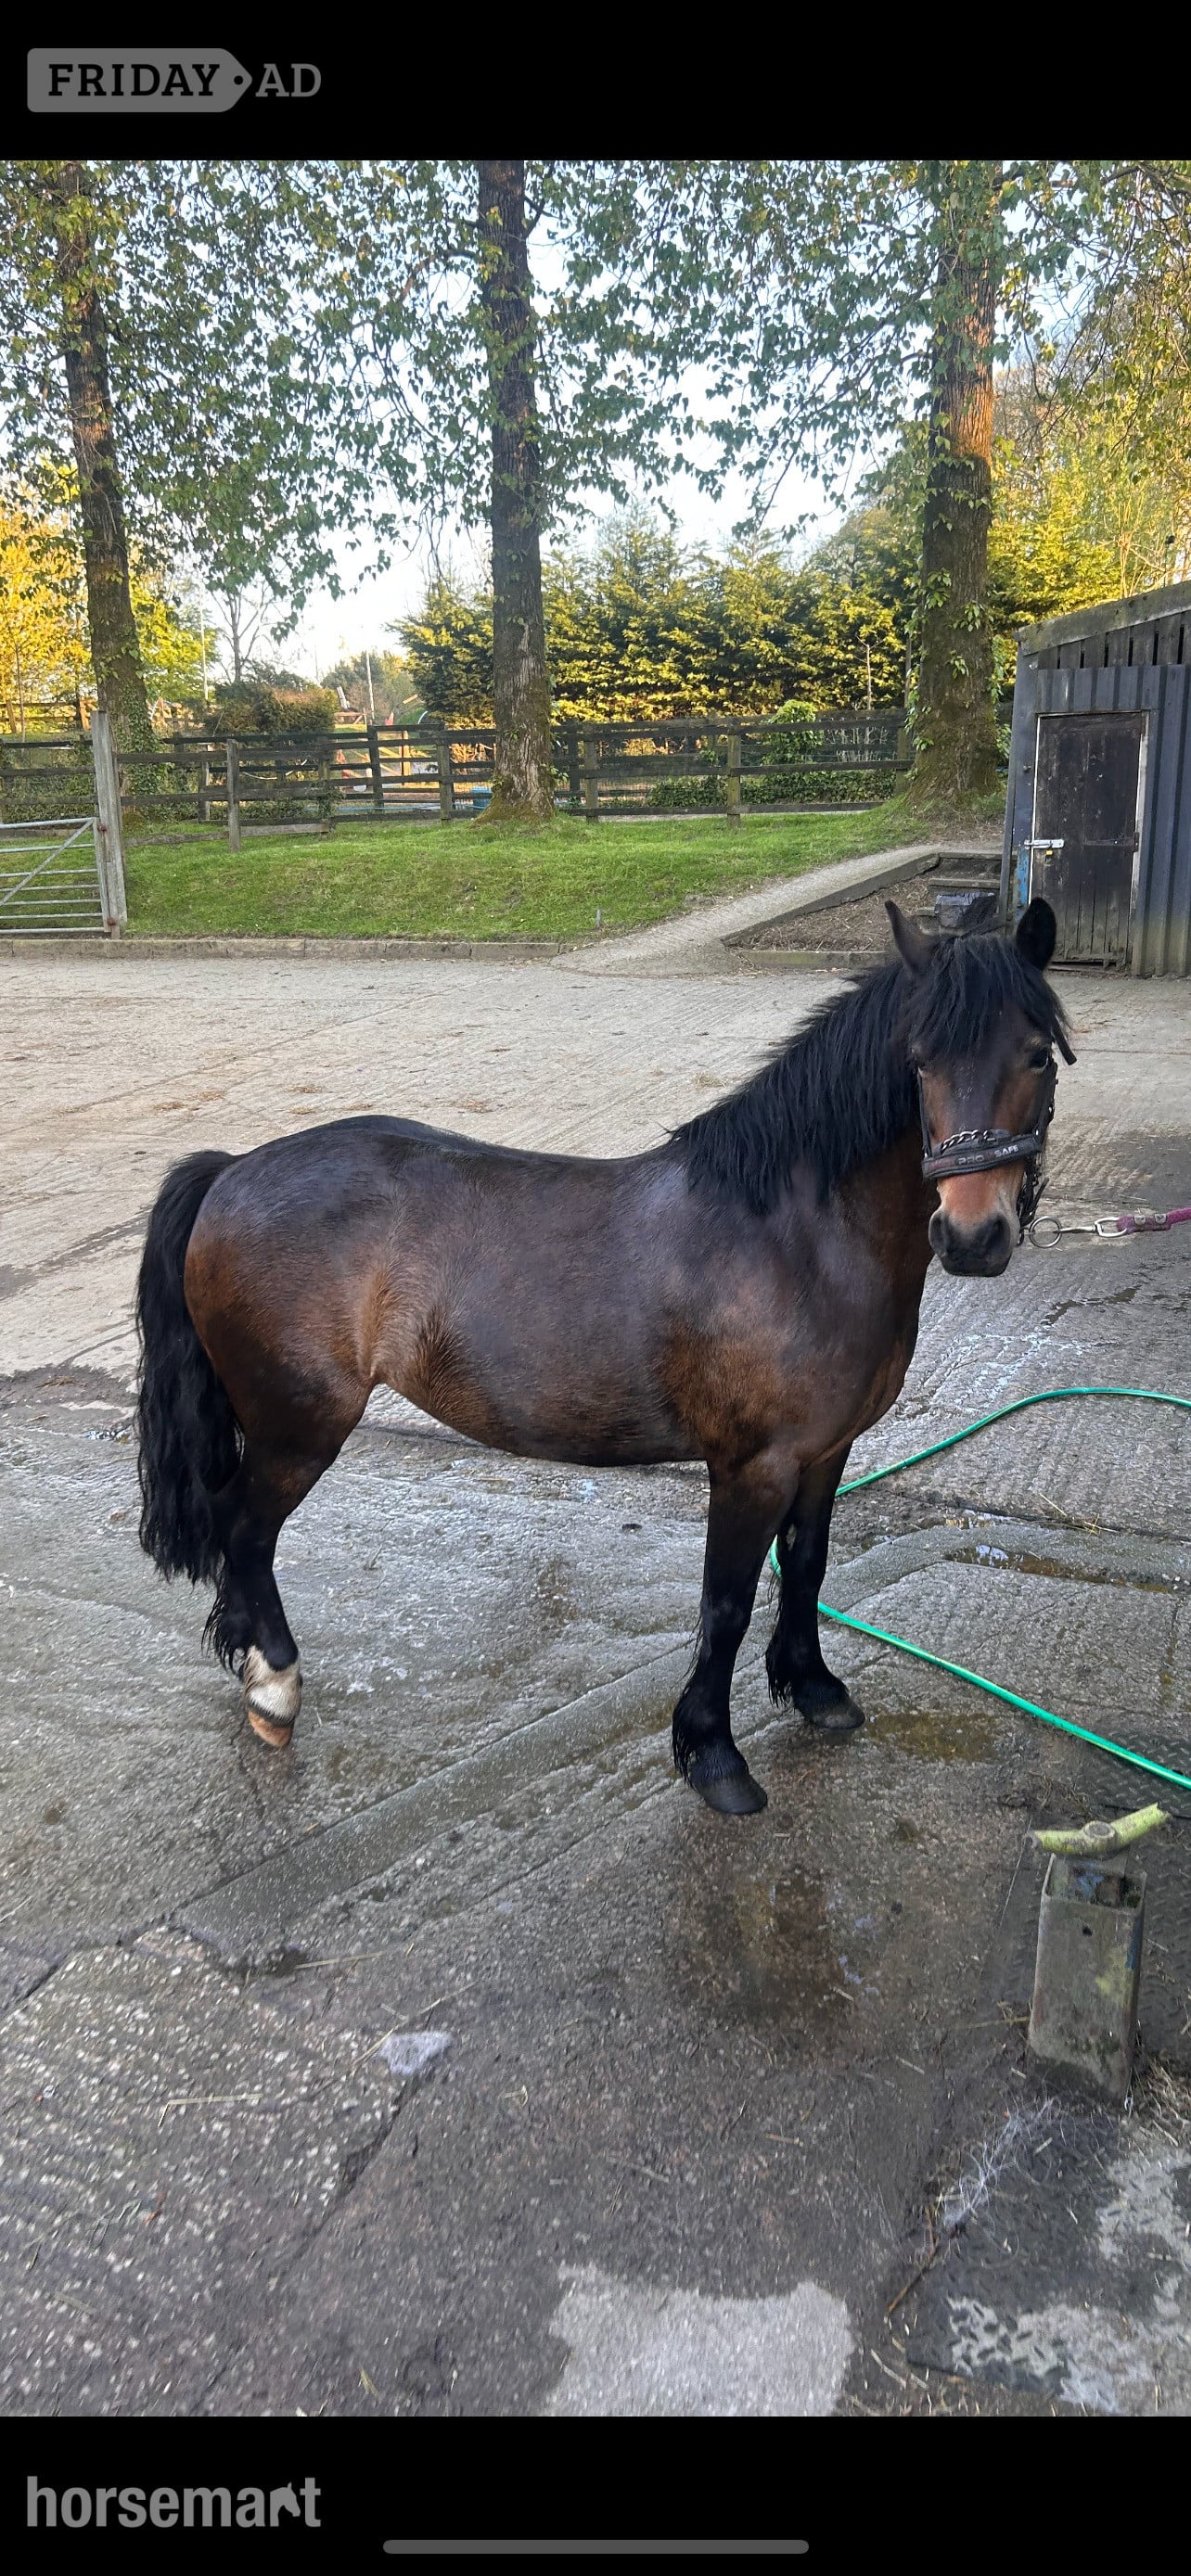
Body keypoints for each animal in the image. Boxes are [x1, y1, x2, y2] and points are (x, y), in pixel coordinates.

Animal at [135, 895, 1073, 1818]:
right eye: (919, 1064)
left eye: (1037, 1055)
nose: (973, 1237)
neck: (795, 1237)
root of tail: (232, 1171)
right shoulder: (753, 1467)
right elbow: (726, 1603)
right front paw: (713, 1754)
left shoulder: (826, 1453)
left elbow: (806, 1568)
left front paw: (813, 1688)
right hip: (298, 1428)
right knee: (245, 1532)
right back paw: (274, 1687)